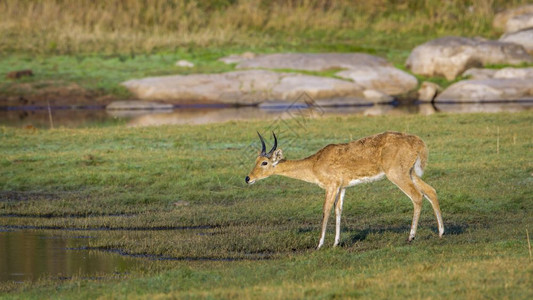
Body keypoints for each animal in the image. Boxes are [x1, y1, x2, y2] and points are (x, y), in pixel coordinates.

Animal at [245, 131, 444, 248]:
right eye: (256, 160)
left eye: (264, 162)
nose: (248, 178)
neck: (315, 163)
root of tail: (418, 142)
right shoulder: (342, 187)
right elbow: (338, 211)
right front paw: (336, 243)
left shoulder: (331, 186)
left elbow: (325, 211)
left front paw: (319, 245)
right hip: (411, 173)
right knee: (431, 191)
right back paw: (441, 232)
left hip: (397, 174)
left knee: (417, 196)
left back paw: (411, 237)